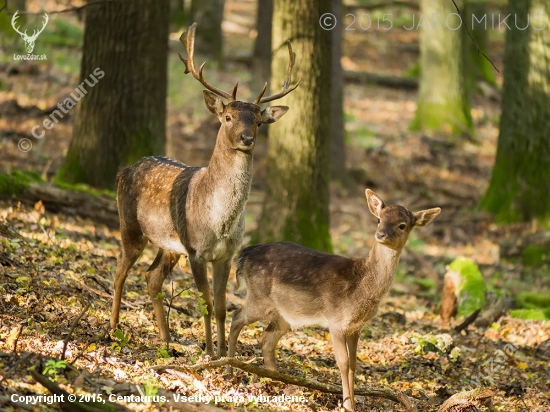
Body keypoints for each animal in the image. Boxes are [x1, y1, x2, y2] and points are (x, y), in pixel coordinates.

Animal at [111, 22, 302, 356]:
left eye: (258, 122)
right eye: (228, 116)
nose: (246, 138)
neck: (219, 221)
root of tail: (125, 170)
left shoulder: (225, 255)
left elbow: (223, 306)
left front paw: (225, 353)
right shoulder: (196, 251)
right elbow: (206, 304)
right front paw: (210, 352)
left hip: (169, 245)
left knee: (151, 277)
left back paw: (166, 339)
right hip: (131, 226)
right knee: (120, 269)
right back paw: (113, 327)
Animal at [230, 189, 444, 408]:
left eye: (402, 225)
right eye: (379, 219)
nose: (380, 234)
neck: (362, 287)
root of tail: (245, 253)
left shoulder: (356, 326)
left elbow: (354, 363)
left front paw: (354, 404)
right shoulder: (336, 320)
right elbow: (342, 362)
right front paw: (347, 405)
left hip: (284, 313)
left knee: (266, 339)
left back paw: (276, 380)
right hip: (258, 297)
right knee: (237, 316)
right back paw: (228, 366)